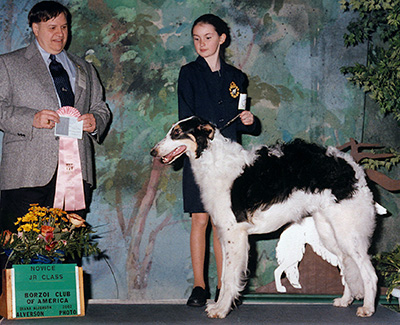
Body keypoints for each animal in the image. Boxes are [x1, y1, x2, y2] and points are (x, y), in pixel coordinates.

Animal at [151, 116, 378, 316]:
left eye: (176, 132)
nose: (153, 152)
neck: (215, 162)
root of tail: (353, 166)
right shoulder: (224, 235)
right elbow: (224, 276)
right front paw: (217, 306)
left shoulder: (235, 234)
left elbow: (230, 277)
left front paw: (221, 310)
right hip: (330, 233)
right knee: (346, 267)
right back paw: (345, 300)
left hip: (348, 234)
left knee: (369, 274)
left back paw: (367, 308)